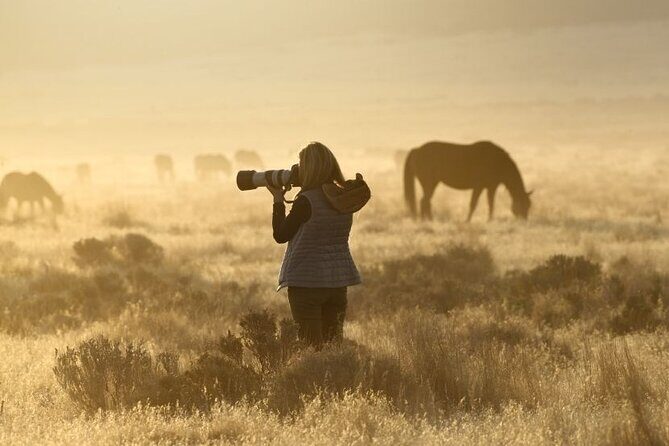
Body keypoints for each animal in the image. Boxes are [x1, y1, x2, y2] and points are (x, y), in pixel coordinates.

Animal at [404, 141, 532, 221]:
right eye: (523, 204)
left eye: (529, 205)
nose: (524, 220)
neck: (498, 161)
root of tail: (417, 150)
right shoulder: (479, 186)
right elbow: (473, 204)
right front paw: (468, 220)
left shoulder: (491, 187)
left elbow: (490, 203)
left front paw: (489, 220)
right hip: (429, 183)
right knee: (424, 201)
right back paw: (427, 220)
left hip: (432, 183)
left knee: (426, 201)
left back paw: (428, 220)